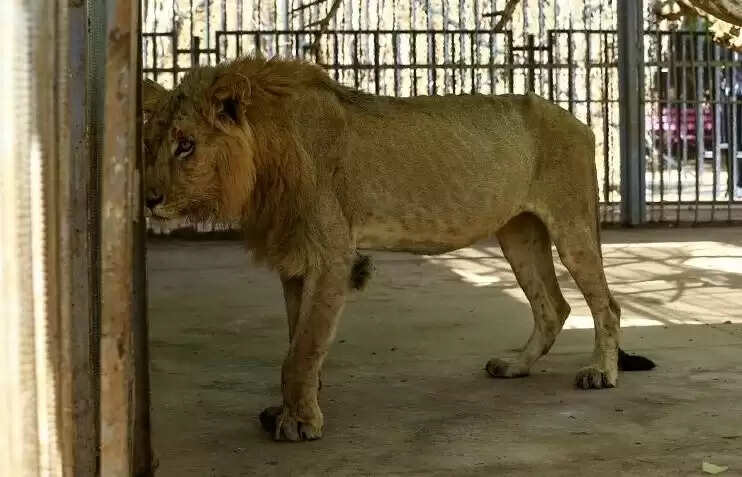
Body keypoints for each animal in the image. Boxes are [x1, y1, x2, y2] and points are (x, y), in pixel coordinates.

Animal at [142, 55, 654, 442]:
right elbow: (294, 343)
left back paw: (601, 374)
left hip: (571, 223)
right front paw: (291, 407)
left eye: (186, 145)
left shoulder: (330, 254)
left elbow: (303, 348)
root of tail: (579, 122)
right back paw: (515, 366)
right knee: (553, 306)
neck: (264, 160)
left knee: (606, 304)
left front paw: (301, 422)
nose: (148, 198)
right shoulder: (295, 259)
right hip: (519, 233)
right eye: (150, 146)